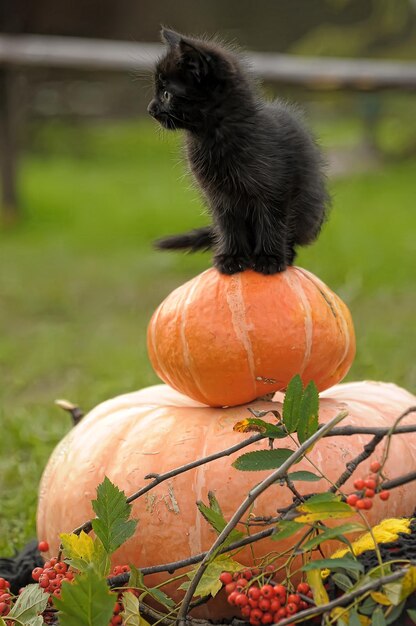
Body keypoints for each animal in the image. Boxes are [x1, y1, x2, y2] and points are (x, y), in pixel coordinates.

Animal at [148, 28, 330, 272]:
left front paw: (269, 259)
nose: (150, 109)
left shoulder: (274, 189)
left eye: (166, 94)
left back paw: (284, 254)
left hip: (309, 209)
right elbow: (228, 226)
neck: (211, 137)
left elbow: (272, 222)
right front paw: (231, 257)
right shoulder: (218, 196)